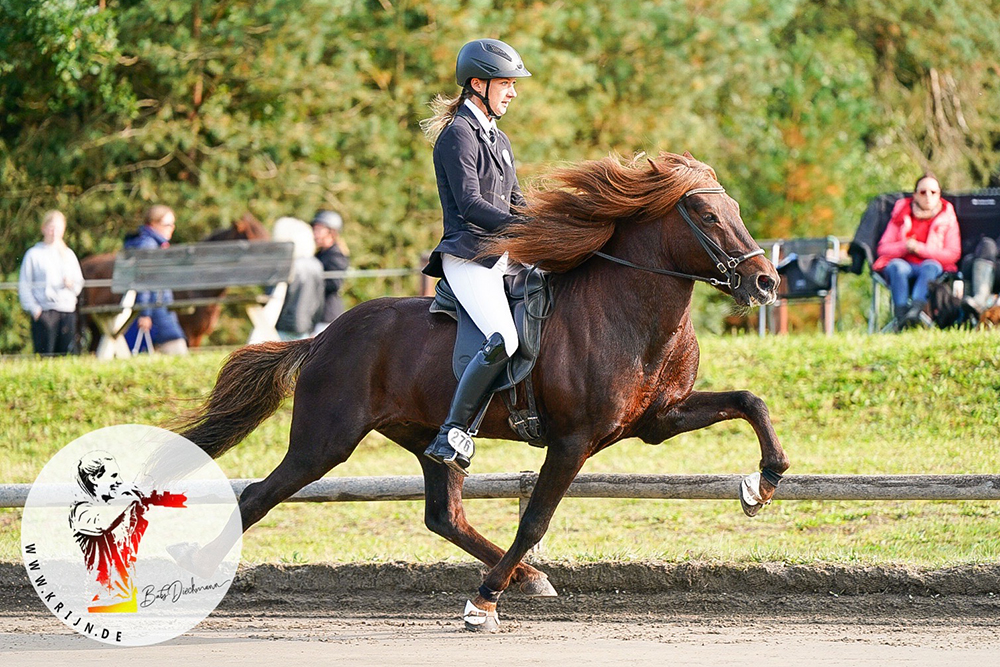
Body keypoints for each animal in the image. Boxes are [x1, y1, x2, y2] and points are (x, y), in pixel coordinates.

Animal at [176, 151, 792, 632]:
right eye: (707, 215)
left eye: (736, 211)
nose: (766, 282)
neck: (629, 314)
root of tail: (325, 336)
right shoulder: (573, 440)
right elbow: (535, 519)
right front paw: (483, 602)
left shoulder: (660, 420)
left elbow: (749, 401)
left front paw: (762, 483)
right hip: (324, 441)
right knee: (258, 495)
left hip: (427, 438)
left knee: (444, 515)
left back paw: (527, 577)